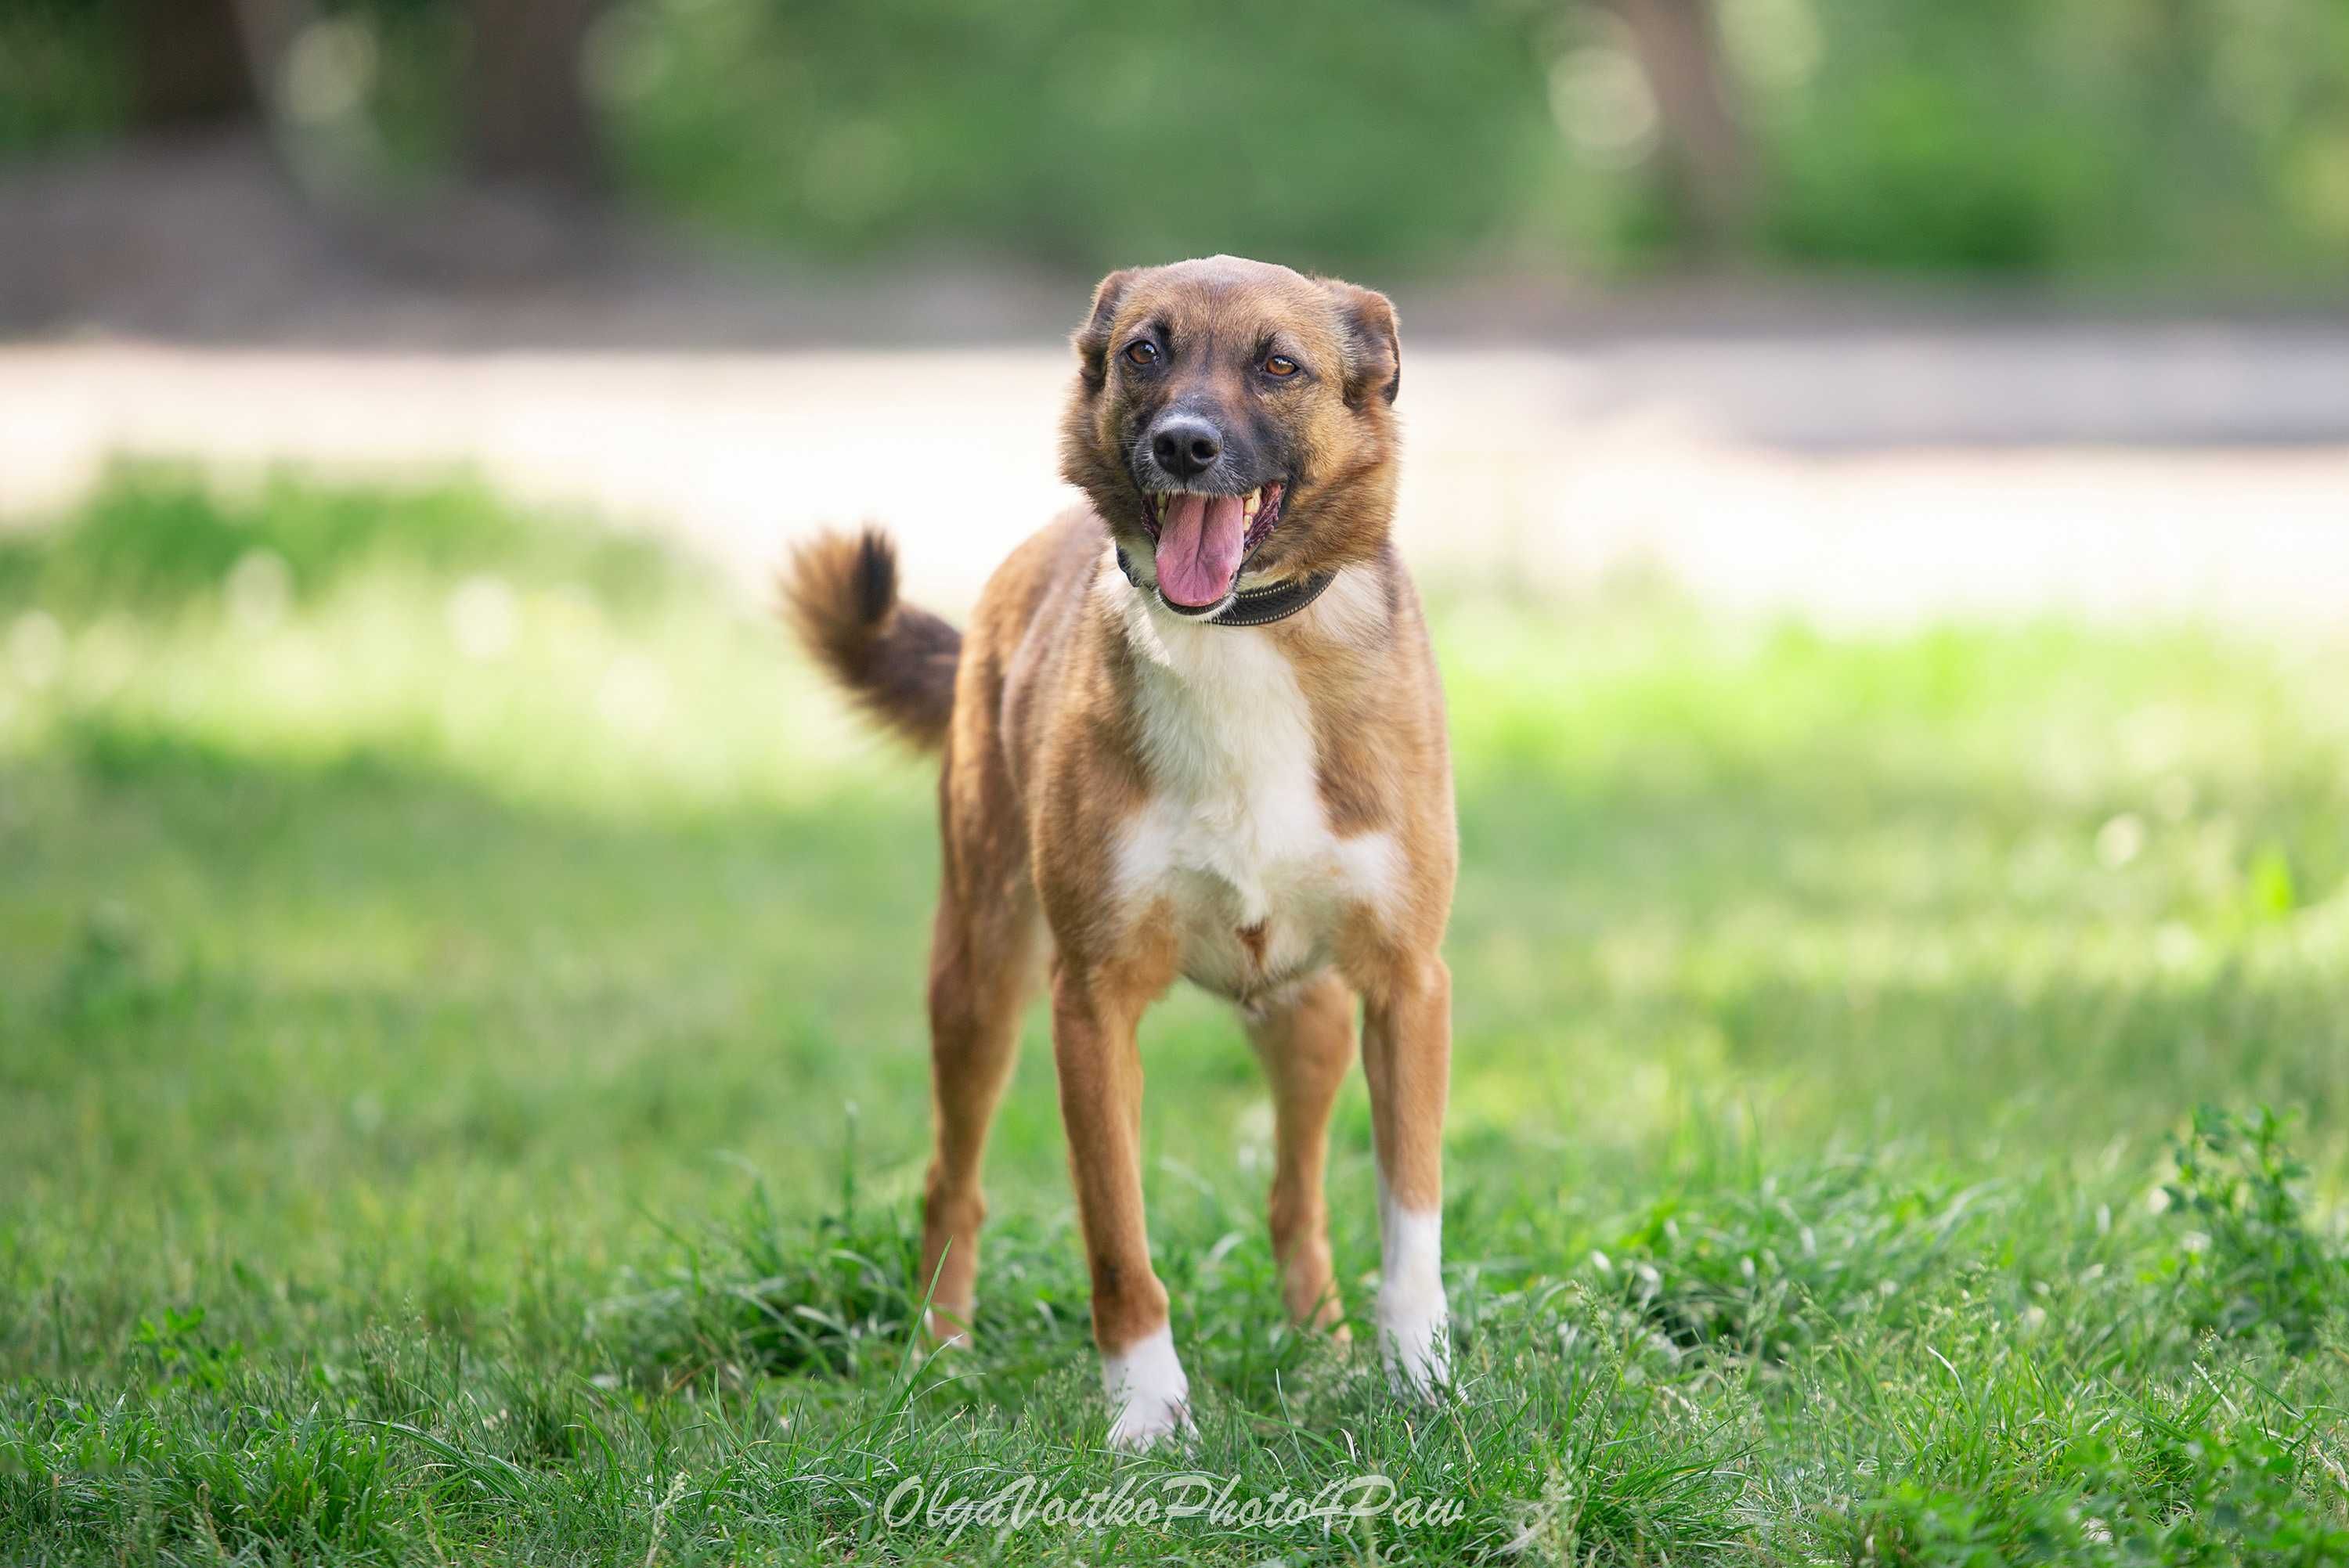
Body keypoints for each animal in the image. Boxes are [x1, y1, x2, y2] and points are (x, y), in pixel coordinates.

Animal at [785, 254, 1447, 1446]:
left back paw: (1323, 1349)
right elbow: (1116, 1237)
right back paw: (937, 1357)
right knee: (952, 1180)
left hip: (1311, 1018)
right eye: (1145, 350)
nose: (1184, 444)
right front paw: (1147, 1416)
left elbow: (1410, 1220)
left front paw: (1419, 1381)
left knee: (1295, 1195)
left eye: (1280, 365)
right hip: (979, 978)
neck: (1238, 637)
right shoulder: (1089, 1003)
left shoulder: (1409, 984)